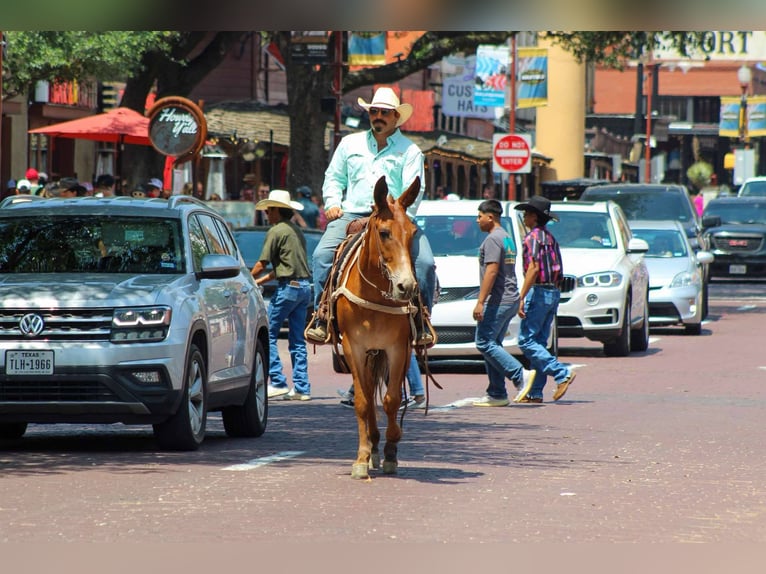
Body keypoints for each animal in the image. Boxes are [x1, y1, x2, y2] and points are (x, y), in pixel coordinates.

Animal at [333, 175, 421, 479]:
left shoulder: (398, 348)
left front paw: (391, 451)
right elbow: (362, 402)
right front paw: (362, 457)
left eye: (413, 232)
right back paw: (371, 445)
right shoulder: (354, 347)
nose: (406, 287)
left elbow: (392, 400)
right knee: (369, 392)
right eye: (384, 232)